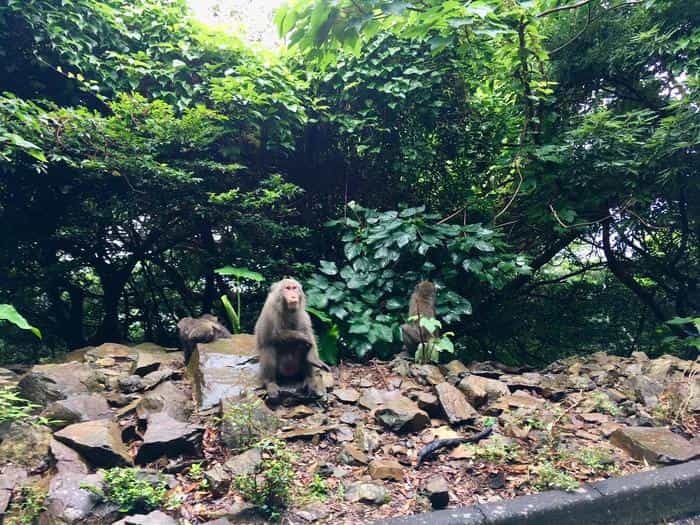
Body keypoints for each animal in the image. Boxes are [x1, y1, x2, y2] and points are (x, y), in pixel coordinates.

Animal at [253, 276, 330, 404]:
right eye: (287, 288)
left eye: (294, 288)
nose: (293, 296)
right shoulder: (270, 311)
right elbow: (272, 336)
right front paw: (301, 336)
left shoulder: (302, 313)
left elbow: (309, 335)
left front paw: (313, 358)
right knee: (269, 347)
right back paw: (270, 383)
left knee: (303, 348)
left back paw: (309, 379)